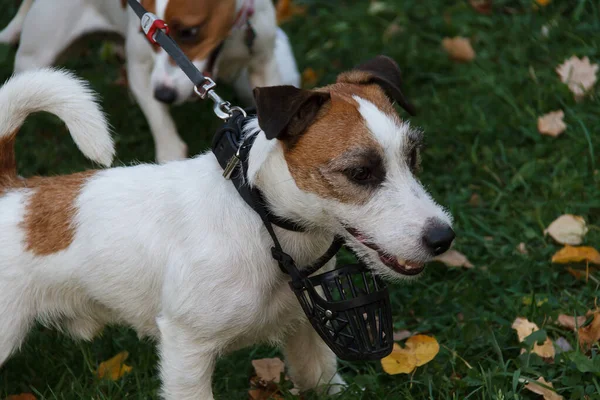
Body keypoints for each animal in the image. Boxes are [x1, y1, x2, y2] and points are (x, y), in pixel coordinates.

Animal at [0, 0, 300, 162]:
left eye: (190, 31)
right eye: (150, 35)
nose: (164, 95)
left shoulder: (264, 62)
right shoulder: (141, 70)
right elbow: (160, 124)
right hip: (34, 57)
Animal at [0, 57, 452, 400]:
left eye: (413, 156)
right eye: (360, 172)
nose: (443, 238)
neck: (262, 222)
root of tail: (13, 189)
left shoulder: (307, 333)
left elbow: (322, 379)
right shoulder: (187, 349)